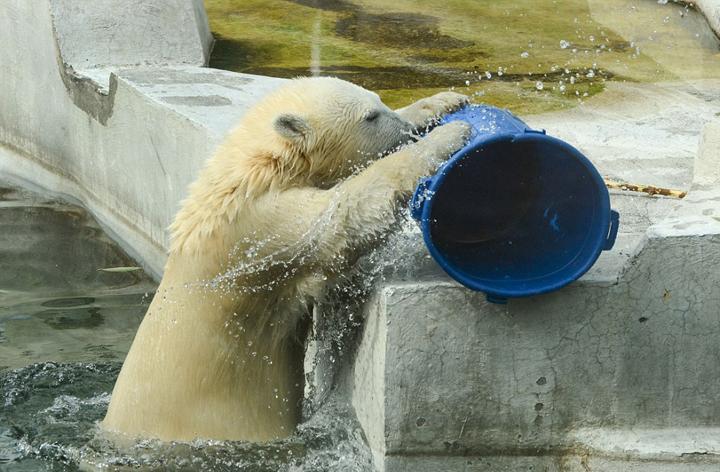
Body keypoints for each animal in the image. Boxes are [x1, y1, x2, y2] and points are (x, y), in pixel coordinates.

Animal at [102, 77, 472, 442]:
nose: (406, 131)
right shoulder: (261, 230)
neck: (253, 170)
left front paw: (443, 102)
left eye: (380, 101)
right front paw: (451, 135)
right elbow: (343, 214)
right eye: (370, 116)